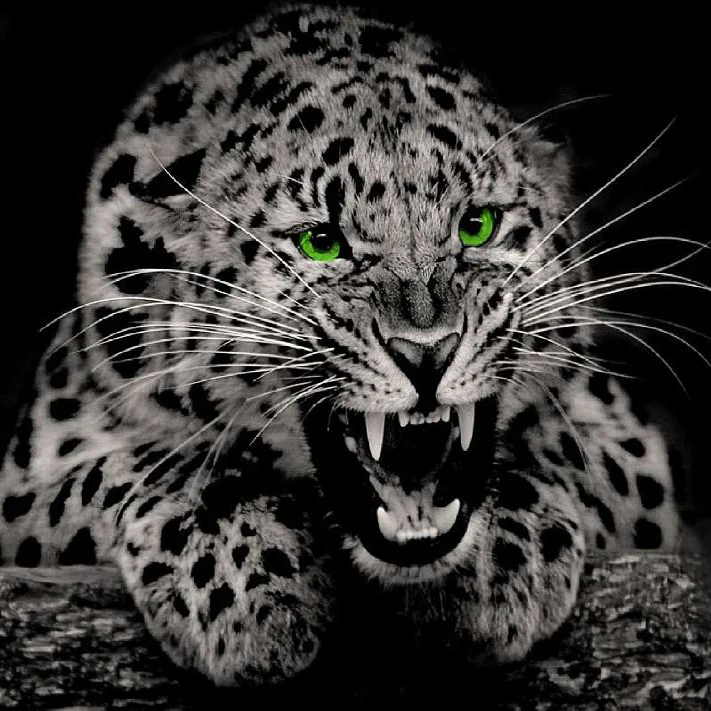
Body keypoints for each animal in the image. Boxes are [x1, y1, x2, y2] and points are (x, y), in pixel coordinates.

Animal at [0, 1, 689, 689]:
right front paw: (240, 577)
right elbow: (150, 465)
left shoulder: (633, 449)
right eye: (322, 242)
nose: (427, 352)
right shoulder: (35, 471)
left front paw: (502, 559)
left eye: (477, 226)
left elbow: (559, 447)